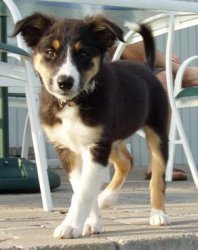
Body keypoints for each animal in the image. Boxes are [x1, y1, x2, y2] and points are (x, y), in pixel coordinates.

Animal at [13, 13, 169, 238]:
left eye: (83, 54)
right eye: (50, 52)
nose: (65, 82)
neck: (72, 103)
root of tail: (147, 68)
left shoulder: (96, 147)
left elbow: (84, 192)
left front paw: (70, 226)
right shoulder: (70, 148)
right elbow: (82, 186)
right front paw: (92, 223)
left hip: (156, 132)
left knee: (157, 175)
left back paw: (158, 214)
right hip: (112, 137)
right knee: (126, 161)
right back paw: (107, 198)